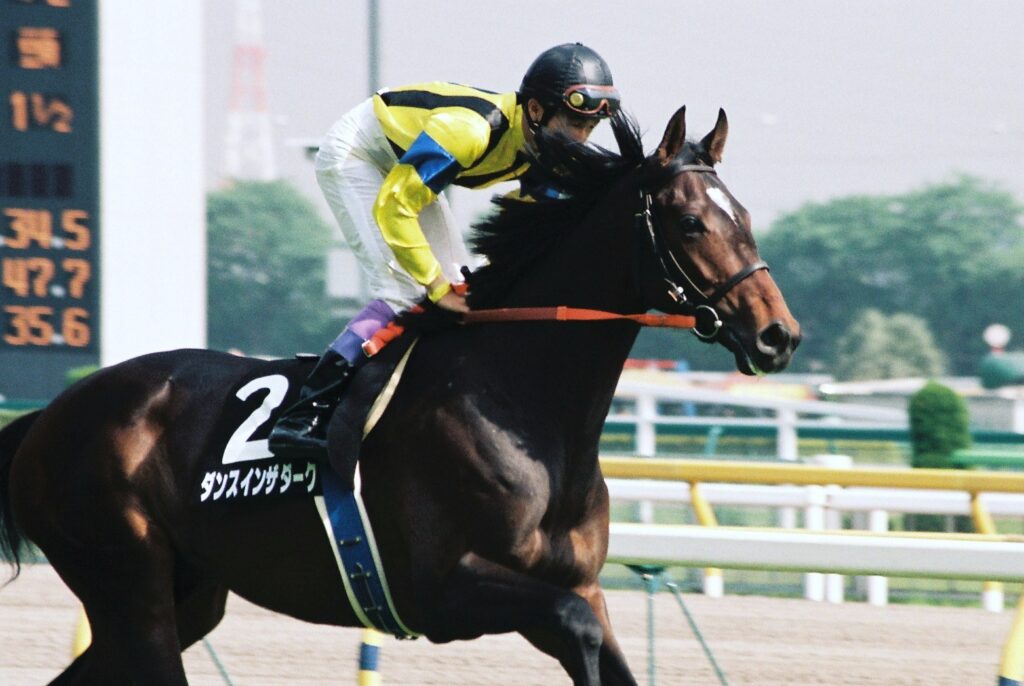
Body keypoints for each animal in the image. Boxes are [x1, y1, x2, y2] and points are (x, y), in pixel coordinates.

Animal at [0, 104, 798, 683]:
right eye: (690, 222)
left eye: (745, 217)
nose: (777, 335)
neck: (519, 399)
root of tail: (48, 417)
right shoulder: (445, 587)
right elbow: (572, 626)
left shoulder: (583, 587)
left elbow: (600, 643)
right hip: (130, 588)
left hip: (188, 592)